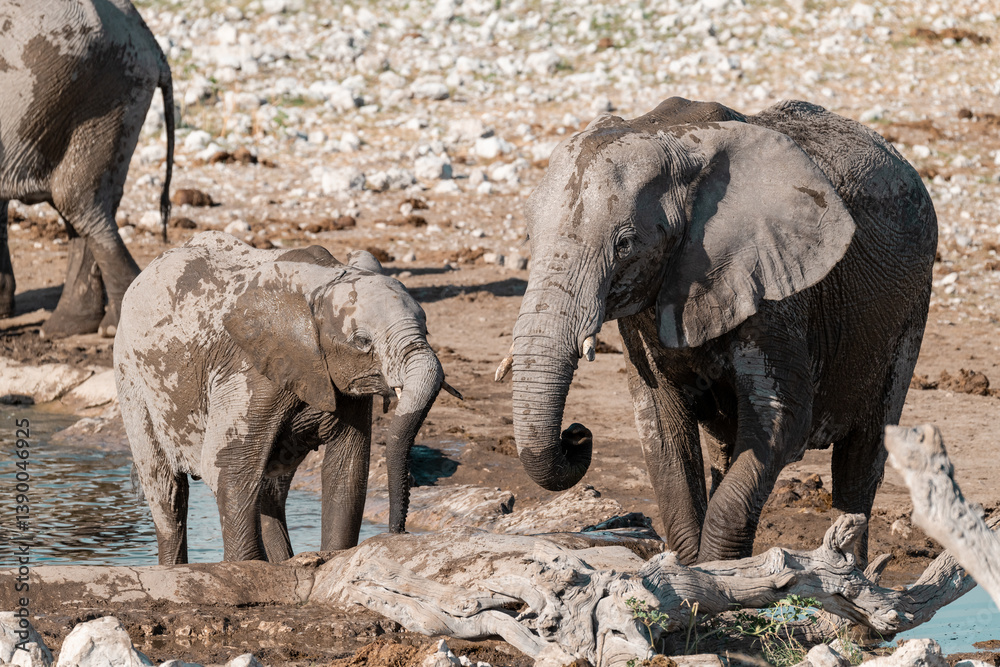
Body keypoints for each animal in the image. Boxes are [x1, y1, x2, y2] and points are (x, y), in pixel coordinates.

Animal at [0, 0, 174, 338]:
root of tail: (151, 43)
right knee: (82, 204)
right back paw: (69, 326)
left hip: (99, 95)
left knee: (76, 199)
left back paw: (109, 328)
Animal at [114, 231, 449, 564]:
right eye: (362, 341)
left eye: (426, 325)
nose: (399, 531)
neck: (319, 285)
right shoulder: (248, 371)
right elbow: (228, 466)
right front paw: (247, 567)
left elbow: (346, 469)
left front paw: (330, 556)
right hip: (131, 376)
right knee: (168, 494)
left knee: (269, 488)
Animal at [506, 97, 937, 565]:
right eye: (528, 233)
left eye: (624, 244)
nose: (577, 434)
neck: (666, 134)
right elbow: (661, 429)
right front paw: (693, 569)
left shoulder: (775, 285)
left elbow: (781, 421)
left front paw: (717, 573)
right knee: (728, 447)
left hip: (909, 308)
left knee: (863, 455)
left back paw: (853, 567)